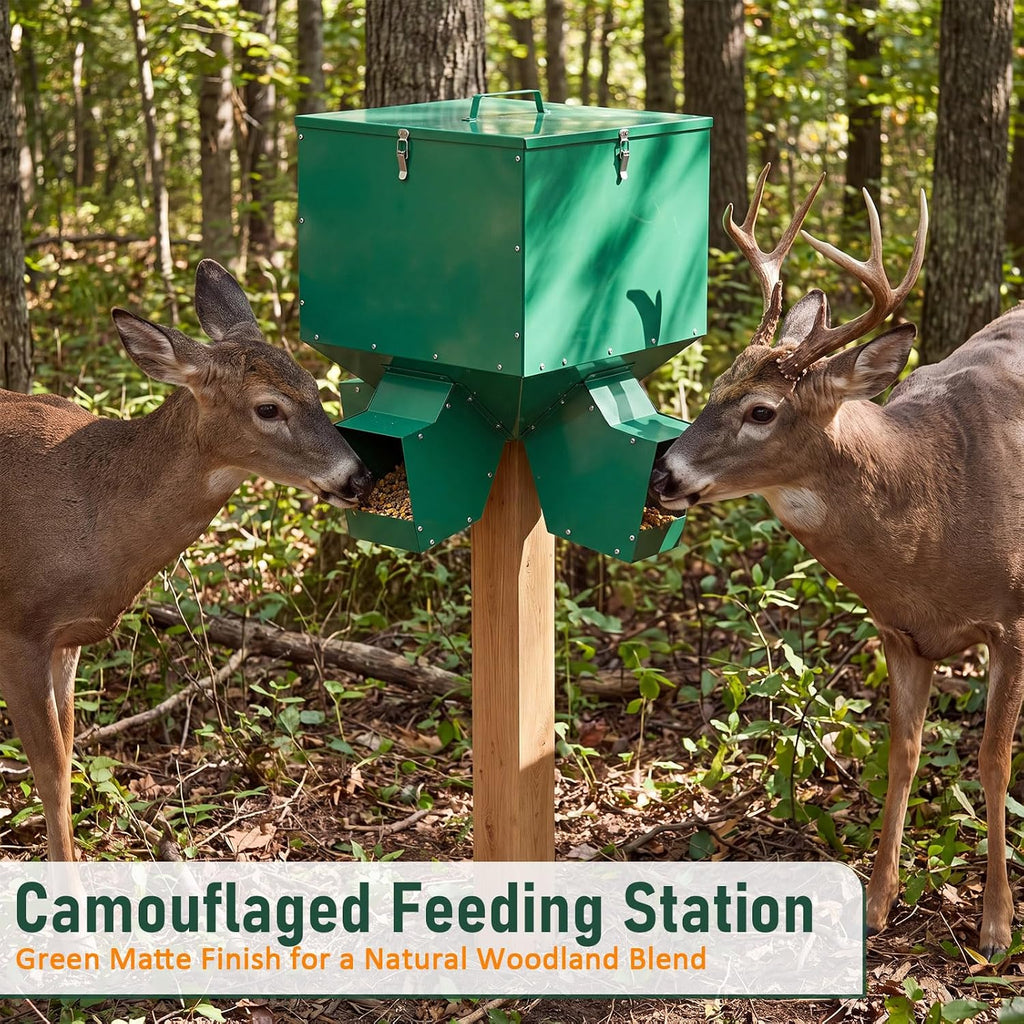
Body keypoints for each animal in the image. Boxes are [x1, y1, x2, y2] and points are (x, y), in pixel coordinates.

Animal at [0, 259, 371, 862]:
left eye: (316, 387)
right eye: (268, 407)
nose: (358, 478)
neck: (91, 507)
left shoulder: (66, 639)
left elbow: (71, 752)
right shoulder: (16, 626)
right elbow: (51, 773)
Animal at [650, 165, 1024, 958]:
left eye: (761, 410)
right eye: (715, 386)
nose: (661, 476)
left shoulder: (1013, 620)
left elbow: (991, 759)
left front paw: (997, 924)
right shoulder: (899, 631)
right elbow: (902, 753)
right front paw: (877, 903)